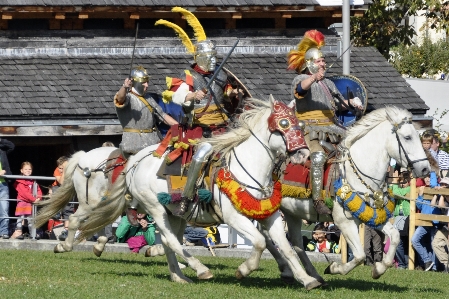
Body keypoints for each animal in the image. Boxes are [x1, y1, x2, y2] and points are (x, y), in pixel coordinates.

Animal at [74, 98, 326, 290]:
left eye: (298, 124)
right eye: (283, 123)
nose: (303, 154)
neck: (249, 167)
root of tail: (135, 160)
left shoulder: (270, 214)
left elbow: (287, 247)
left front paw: (307, 279)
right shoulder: (234, 218)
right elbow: (259, 242)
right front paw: (243, 270)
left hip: (174, 213)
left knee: (170, 241)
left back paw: (178, 276)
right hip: (155, 208)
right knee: (171, 241)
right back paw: (201, 269)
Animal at [260, 107, 428, 284]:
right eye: (407, 137)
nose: (425, 169)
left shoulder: (371, 216)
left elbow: (394, 236)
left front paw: (379, 269)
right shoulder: (344, 222)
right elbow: (360, 255)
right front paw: (334, 268)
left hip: (291, 212)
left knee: (293, 241)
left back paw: (308, 274)